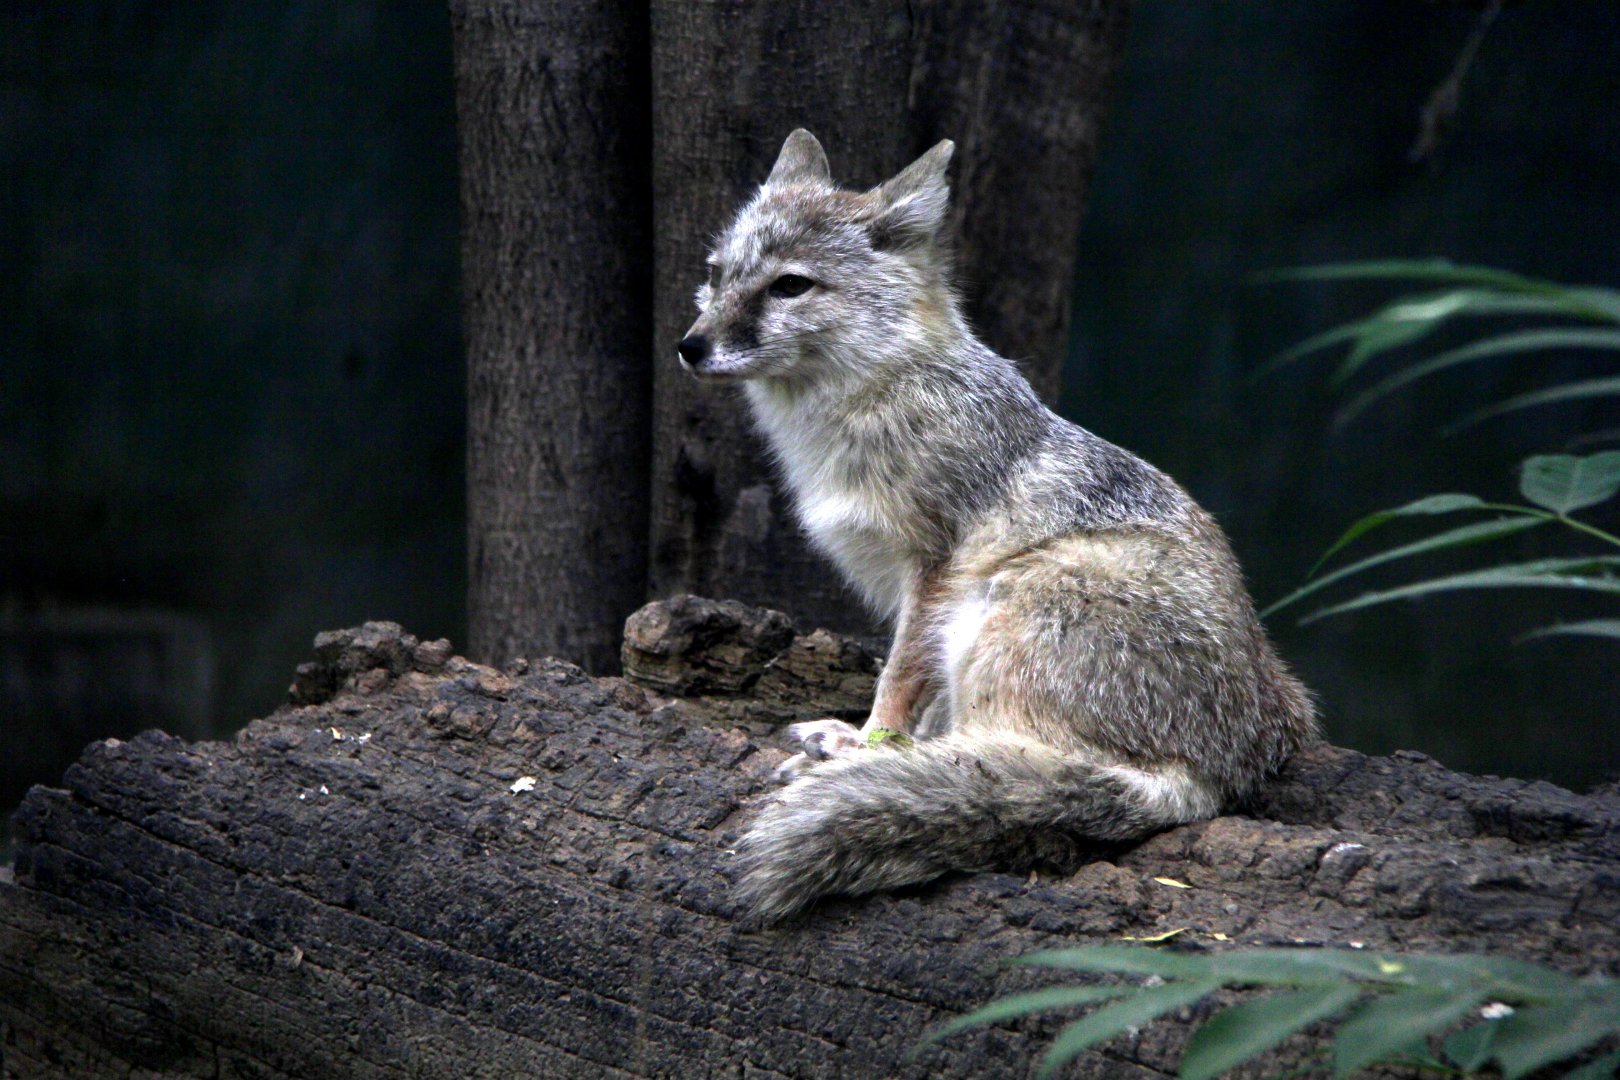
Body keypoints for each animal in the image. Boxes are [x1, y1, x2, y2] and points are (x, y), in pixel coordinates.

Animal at [676, 129, 1319, 923]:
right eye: (716, 275)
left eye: (789, 286)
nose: (690, 345)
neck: (872, 405)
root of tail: (1213, 773)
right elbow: (918, 696)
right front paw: (874, 745)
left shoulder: (936, 568)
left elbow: (898, 679)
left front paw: (870, 746)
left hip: (1004, 602)